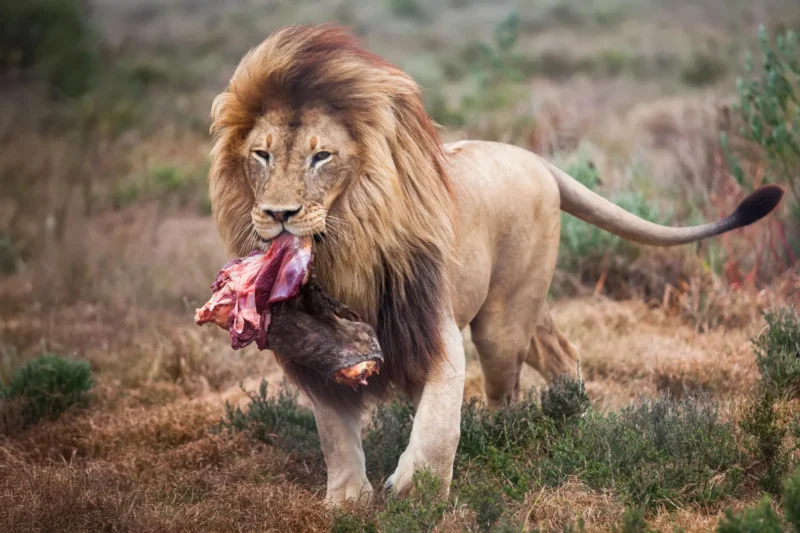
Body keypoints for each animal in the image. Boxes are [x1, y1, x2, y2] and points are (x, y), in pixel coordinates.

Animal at [207, 25, 782, 504]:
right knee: (561, 351)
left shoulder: (432, 326)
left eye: (321, 156)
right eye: (261, 155)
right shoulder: (316, 354)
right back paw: (573, 414)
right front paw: (346, 499)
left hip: (502, 320)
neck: (344, 249)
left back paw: (507, 434)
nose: (278, 214)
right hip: (526, 302)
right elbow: (334, 433)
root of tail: (536, 159)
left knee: (507, 388)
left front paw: (416, 488)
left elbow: (439, 420)